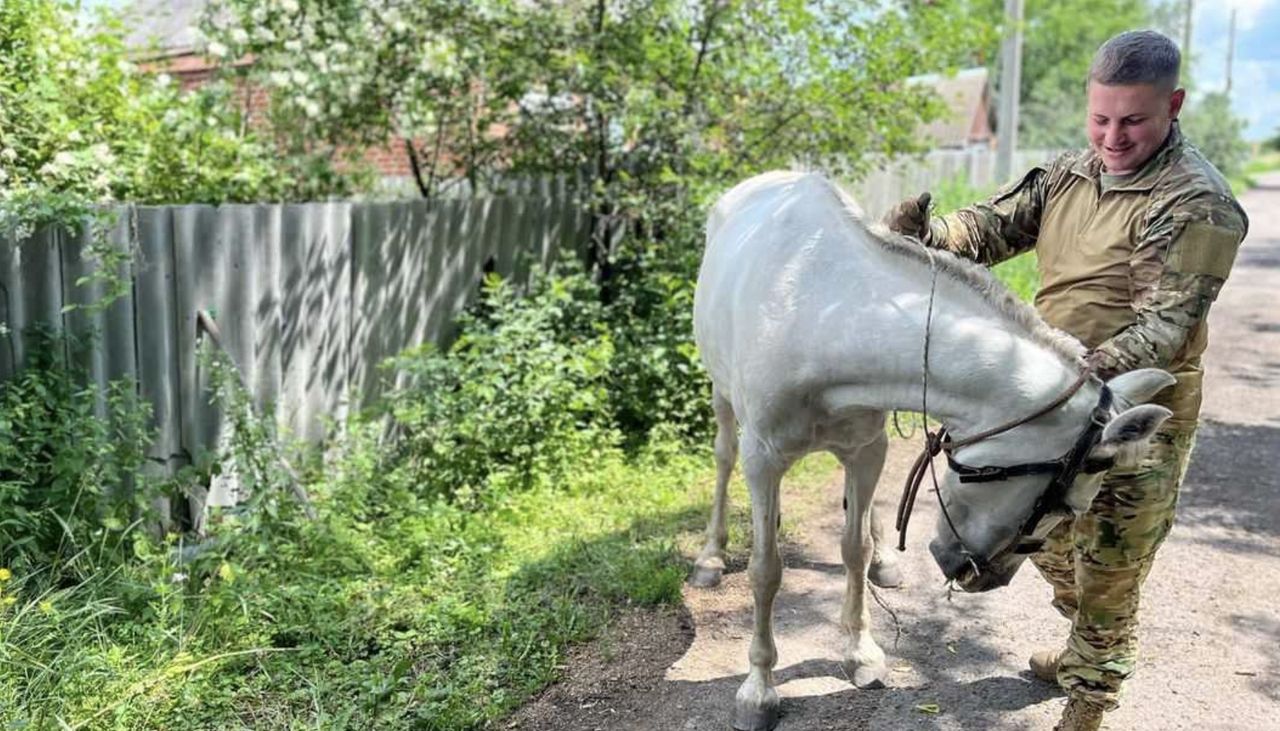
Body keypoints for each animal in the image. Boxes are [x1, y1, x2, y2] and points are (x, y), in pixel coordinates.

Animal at [691, 172, 1172, 731]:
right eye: (1063, 505)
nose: (985, 579)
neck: (825, 311)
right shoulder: (763, 458)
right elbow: (766, 571)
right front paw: (759, 689)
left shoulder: (866, 449)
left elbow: (854, 548)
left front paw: (860, 651)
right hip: (722, 399)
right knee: (723, 458)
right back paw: (710, 557)